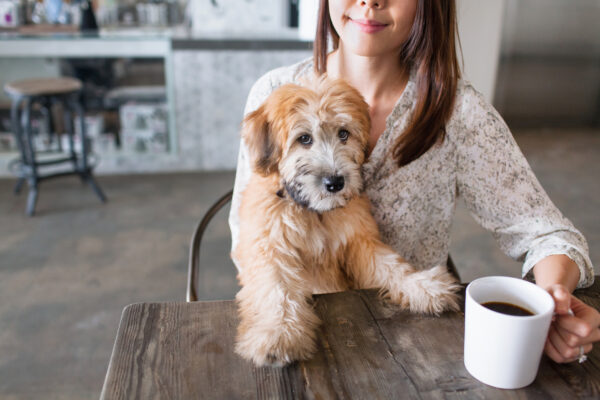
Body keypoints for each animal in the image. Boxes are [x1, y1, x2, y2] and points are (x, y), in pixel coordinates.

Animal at [233, 76, 460, 368]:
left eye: (343, 133)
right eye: (304, 138)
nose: (335, 182)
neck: (315, 212)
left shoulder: (359, 242)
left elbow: (391, 266)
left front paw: (423, 286)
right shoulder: (271, 248)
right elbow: (277, 290)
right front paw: (279, 334)